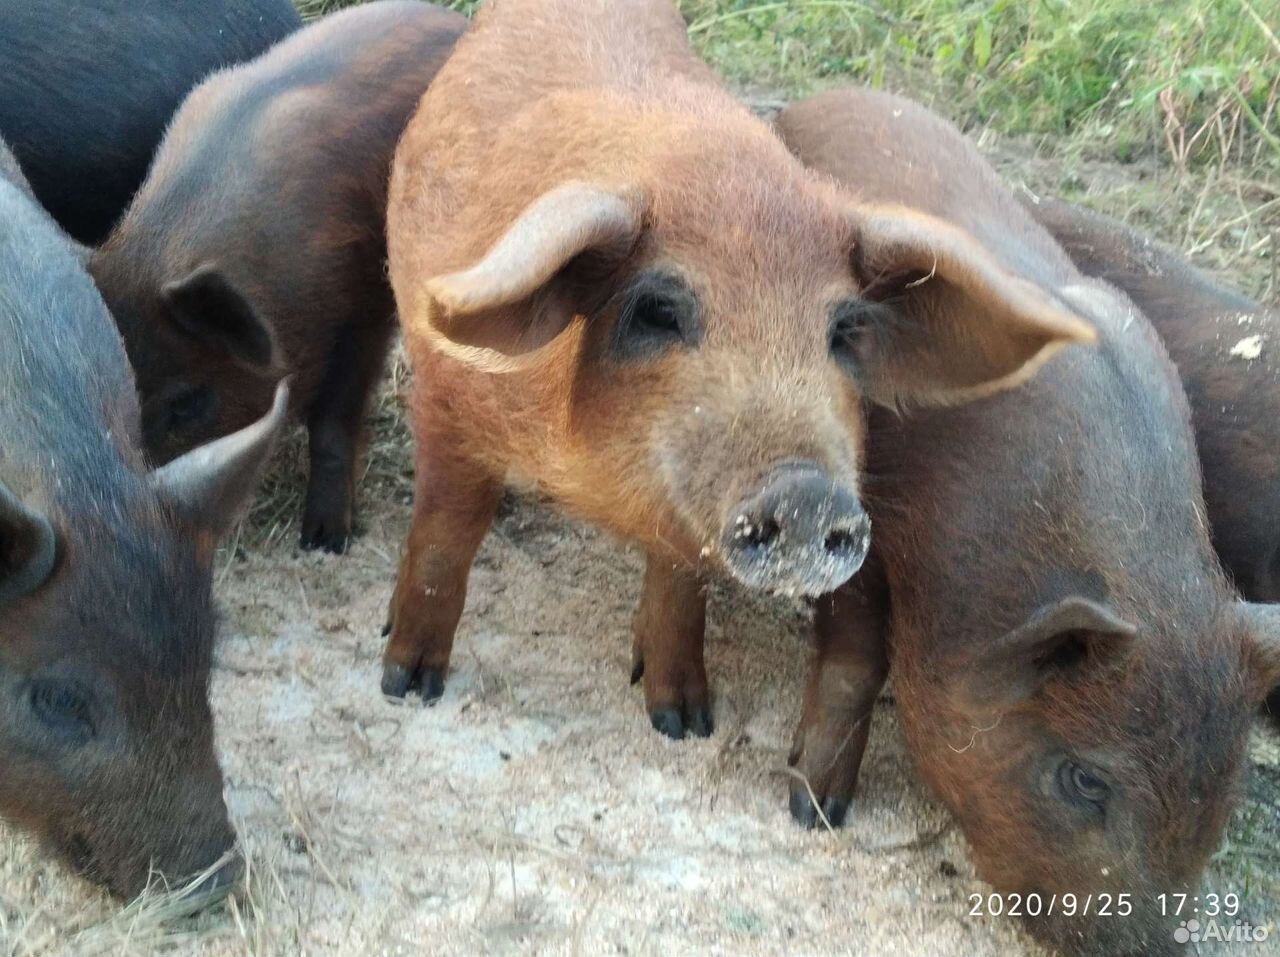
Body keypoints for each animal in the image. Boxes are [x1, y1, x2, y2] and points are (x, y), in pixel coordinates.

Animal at [384, 0, 1095, 742]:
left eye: (843, 331)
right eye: (657, 309)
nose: (808, 491)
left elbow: (680, 583)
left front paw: (684, 723)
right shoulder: (443, 398)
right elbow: (446, 534)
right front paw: (407, 684)